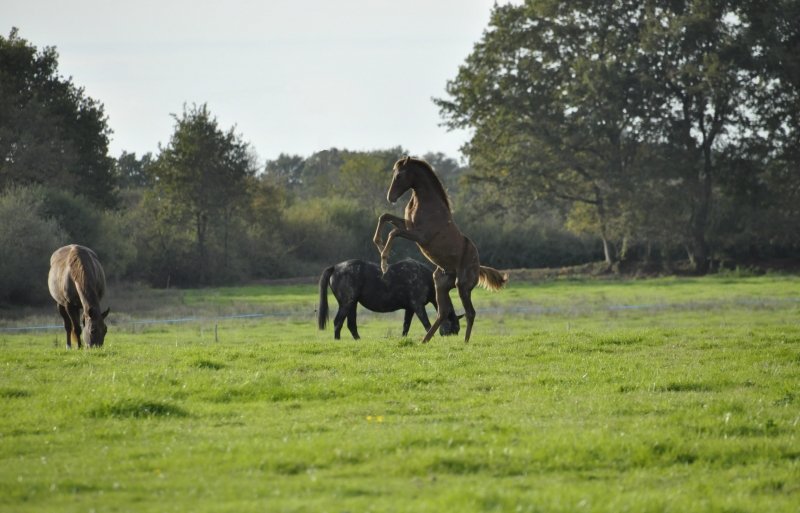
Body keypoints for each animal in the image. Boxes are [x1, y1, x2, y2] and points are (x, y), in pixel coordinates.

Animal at [317, 258, 461, 340]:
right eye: (454, 328)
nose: (450, 338)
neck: (423, 278)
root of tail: (335, 267)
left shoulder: (410, 309)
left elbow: (406, 326)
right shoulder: (418, 306)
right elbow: (426, 323)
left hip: (352, 304)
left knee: (351, 324)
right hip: (346, 303)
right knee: (338, 322)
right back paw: (337, 339)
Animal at [373, 156, 508, 343]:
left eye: (399, 175)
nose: (390, 197)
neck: (427, 204)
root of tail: (478, 266)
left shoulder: (419, 235)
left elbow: (393, 232)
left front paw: (384, 262)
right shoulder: (408, 226)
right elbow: (385, 217)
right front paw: (378, 244)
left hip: (462, 286)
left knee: (470, 313)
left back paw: (465, 343)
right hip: (440, 283)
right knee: (443, 313)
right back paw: (424, 341)